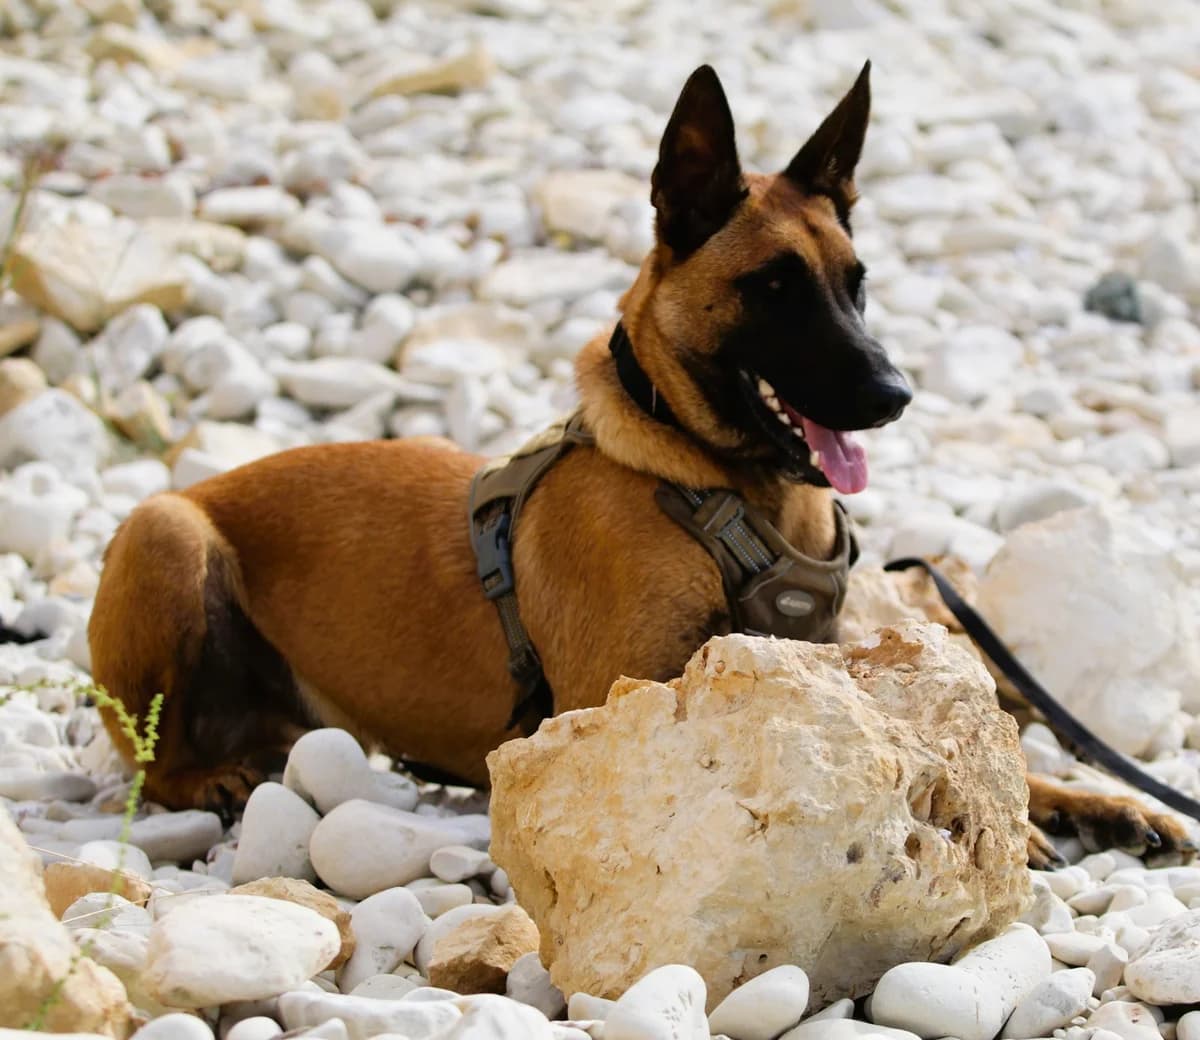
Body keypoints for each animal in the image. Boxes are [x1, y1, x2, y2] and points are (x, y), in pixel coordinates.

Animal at [88, 63, 1192, 865]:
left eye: (857, 281)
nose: (894, 394)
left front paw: (1083, 798)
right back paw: (212, 777)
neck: (716, 480)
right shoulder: (623, 703)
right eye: (773, 286)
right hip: (164, 531)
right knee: (151, 759)